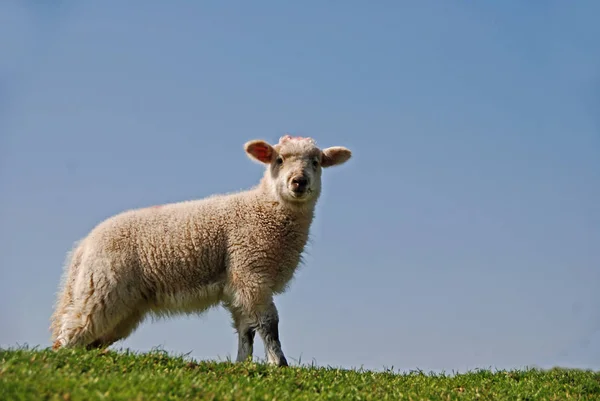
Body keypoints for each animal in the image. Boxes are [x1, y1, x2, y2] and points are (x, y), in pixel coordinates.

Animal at [51, 135, 354, 366]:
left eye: (316, 162)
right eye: (278, 159)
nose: (298, 181)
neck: (264, 209)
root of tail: (83, 246)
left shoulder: (238, 280)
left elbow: (246, 328)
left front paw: (243, 364)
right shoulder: (250, 270)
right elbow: (269, 323)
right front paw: (279, 364)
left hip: (123, 305)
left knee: (92, 338)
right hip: (103, 287)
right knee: (73, 329)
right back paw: (61, 359)